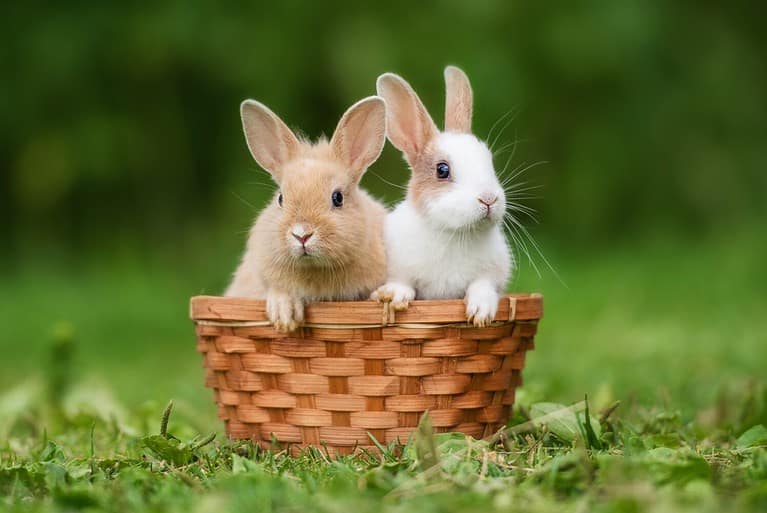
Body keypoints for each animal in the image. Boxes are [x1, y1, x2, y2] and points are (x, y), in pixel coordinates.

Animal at [371, 66, 513, 327]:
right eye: (442, 170)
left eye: (489, 161)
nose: (488, 199)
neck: (454, 233)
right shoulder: (398, 267)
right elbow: (403, 282)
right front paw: (393, 296)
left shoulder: (492, 273)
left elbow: (482, 286)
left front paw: (481, 313)